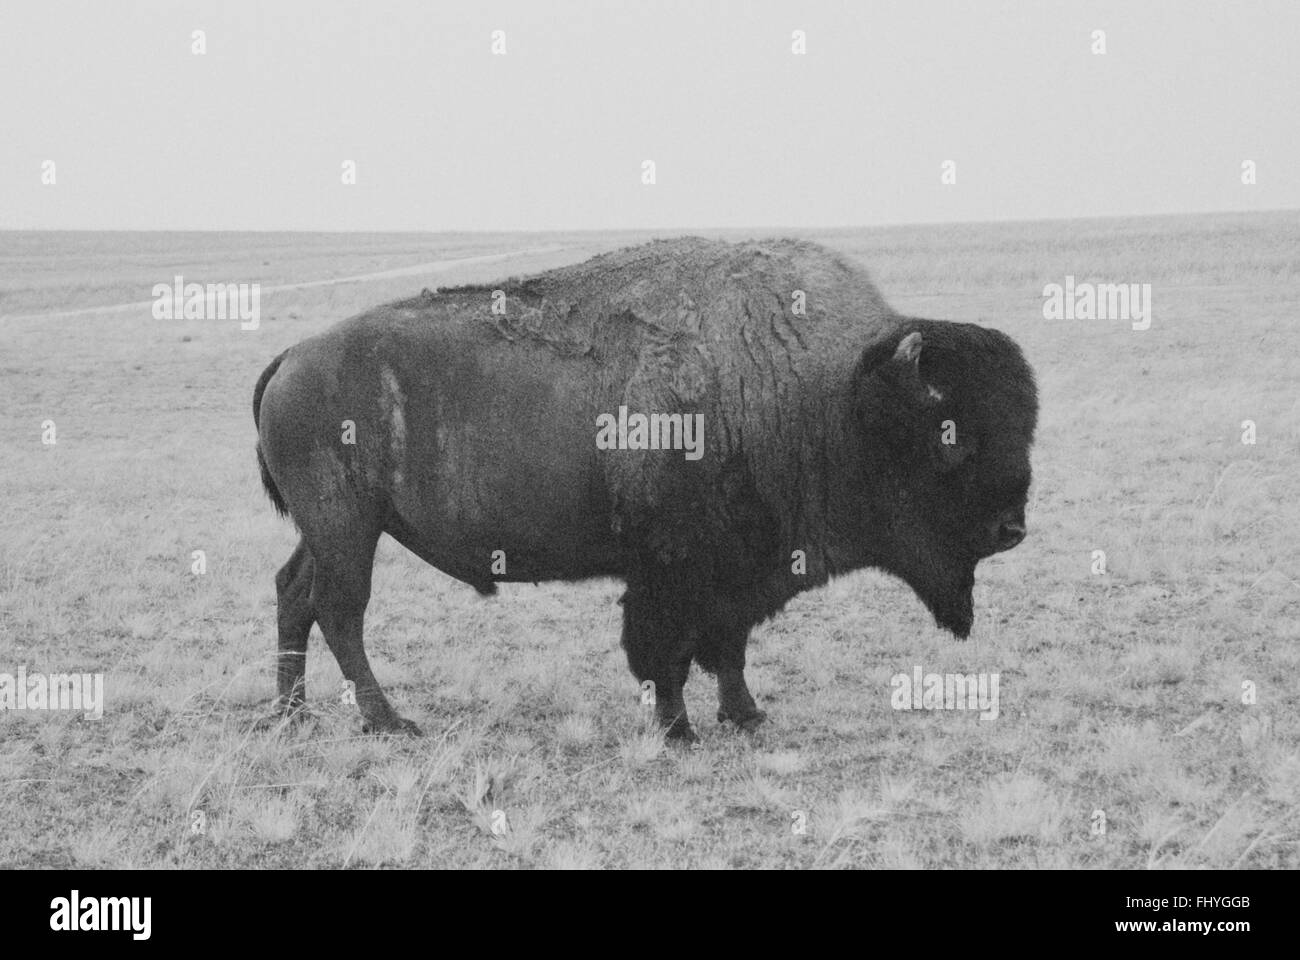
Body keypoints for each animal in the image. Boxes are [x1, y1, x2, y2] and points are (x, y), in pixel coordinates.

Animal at [253, 239, 1040, 738]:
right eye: (952, 440)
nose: (1012, 530)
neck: (830, 393)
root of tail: (293, 357)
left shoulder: (737, 577)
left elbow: (727, 647)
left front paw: (746, 715)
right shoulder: (677, 571)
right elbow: (667, 651)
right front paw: (678, 729)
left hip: (332, 531)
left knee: (295, 594)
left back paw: (294, 714)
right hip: (349, 529)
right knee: (341, 612)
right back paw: (389, 722)